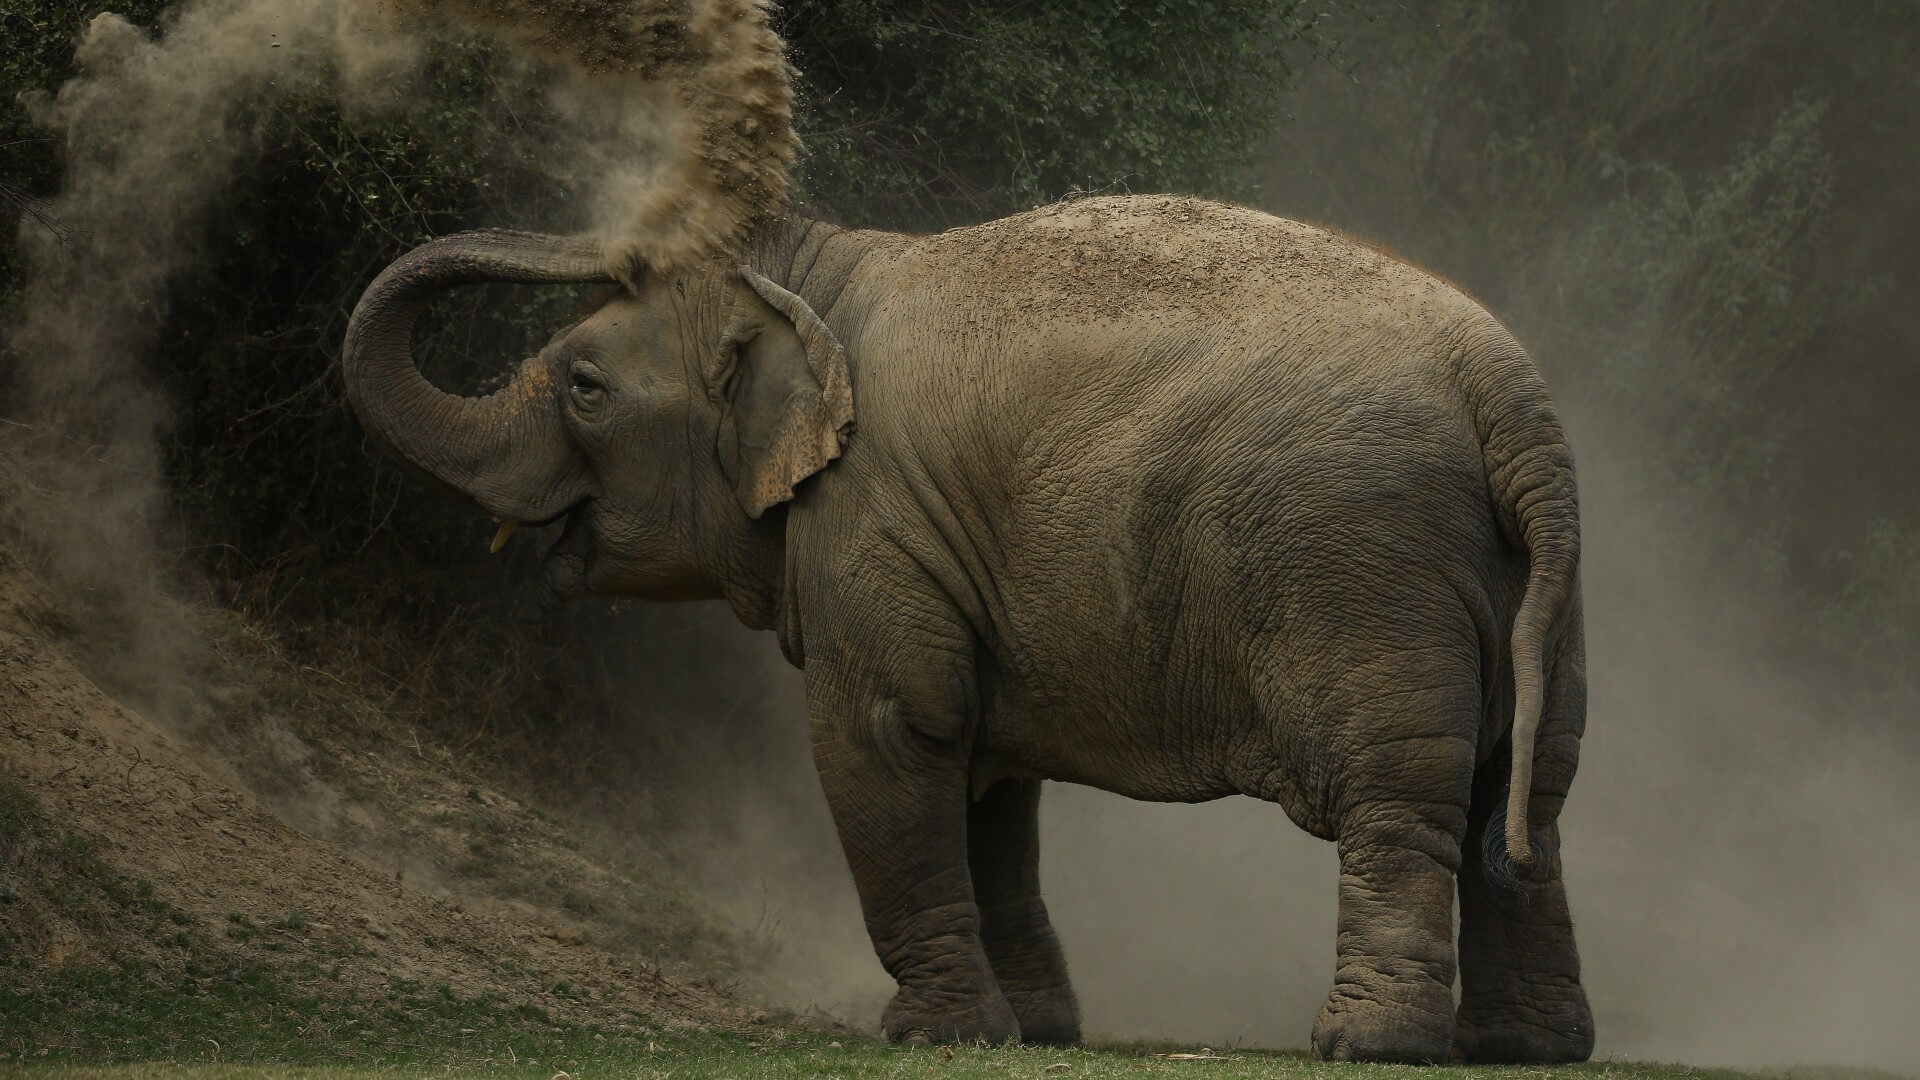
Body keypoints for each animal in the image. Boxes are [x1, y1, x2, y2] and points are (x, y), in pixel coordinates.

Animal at [341, 193, 1589, 1060]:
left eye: (586, 387)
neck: (814, 276)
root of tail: (1507, 394)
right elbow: (987, 781)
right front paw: (1034, 1033)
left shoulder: (873, 520)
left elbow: (889, 738)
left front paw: (932, 1037)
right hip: (1536, 586)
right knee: (1527, 801)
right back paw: (1522, 1049)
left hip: (1361, 571)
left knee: (1398, 799)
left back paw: (1366, 1045)